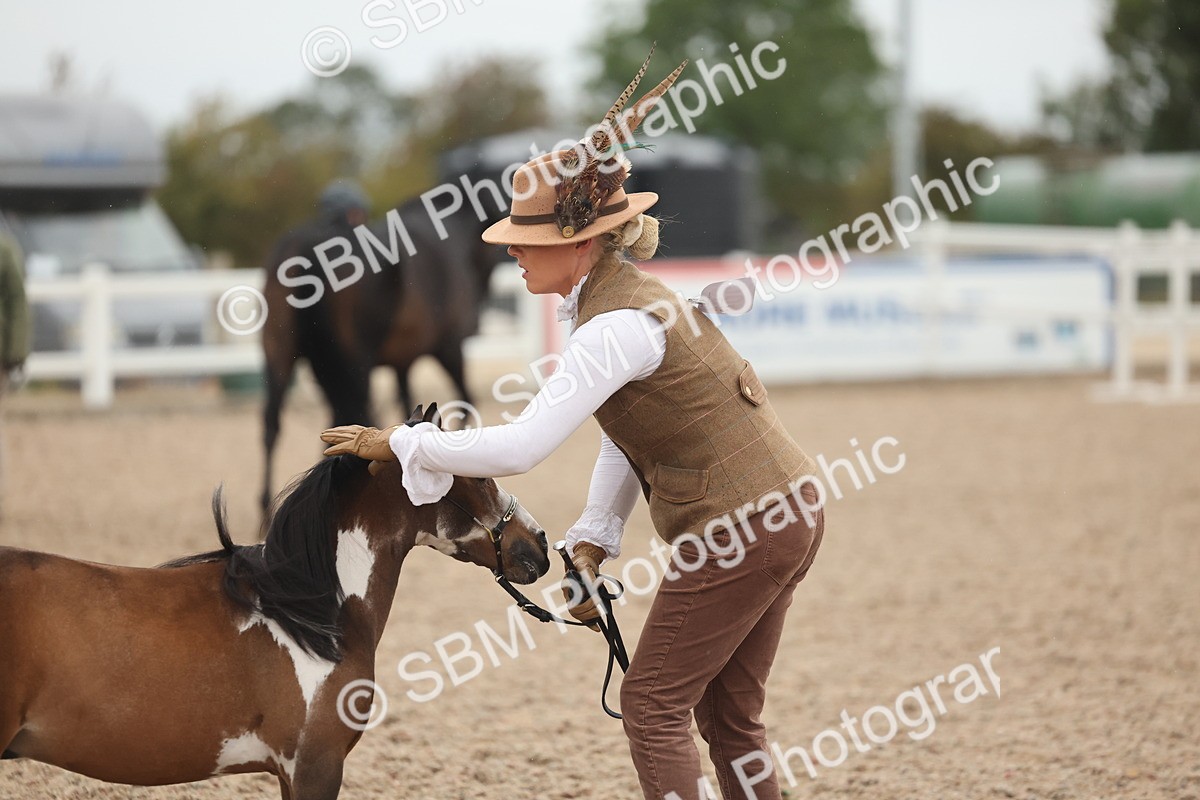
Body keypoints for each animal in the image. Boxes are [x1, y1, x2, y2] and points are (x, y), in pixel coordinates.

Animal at [259, 195, 506, 513]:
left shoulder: (402, 363)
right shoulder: (449, 348)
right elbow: (465, 402)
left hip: (284, 355)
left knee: (273, 423)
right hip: (354, 365)